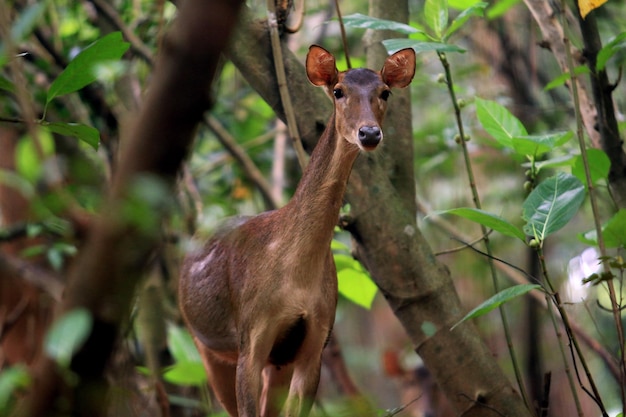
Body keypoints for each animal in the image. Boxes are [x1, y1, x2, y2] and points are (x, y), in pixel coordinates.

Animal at [178, 44, 414, 414]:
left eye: (385, 92)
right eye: (338, 91)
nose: (369, 134)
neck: (295, 277)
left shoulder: (314, 342)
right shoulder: (251, 337)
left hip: (277, 362)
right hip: (204, 344)